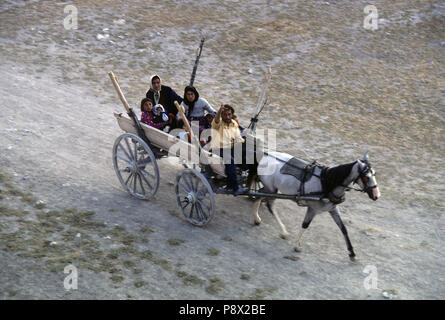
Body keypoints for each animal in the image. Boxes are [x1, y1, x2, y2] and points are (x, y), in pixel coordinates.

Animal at [251, 151, 380, 260]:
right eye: (366, 177)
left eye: (374, 174)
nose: (376, 195)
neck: (326, 183)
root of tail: (265, 156)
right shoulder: (313, 208)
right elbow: (305, 225)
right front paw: (297, 245)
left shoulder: (333, 209)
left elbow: (343, 228)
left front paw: (352, 252)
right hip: (271, 189)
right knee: (269, 205)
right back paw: (283, 231)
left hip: (269, 189)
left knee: (258, 196)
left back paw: (256, 218)